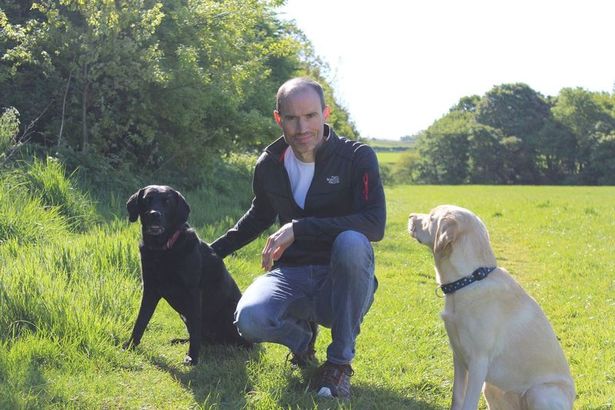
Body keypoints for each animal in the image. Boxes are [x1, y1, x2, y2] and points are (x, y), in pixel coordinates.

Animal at [124, 185, 251, 365]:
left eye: (167, 202)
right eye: (147, 199)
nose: (154, 214)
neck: (163, 250)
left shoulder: (193, 293)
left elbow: (196, 328)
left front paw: (193, 357)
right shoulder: (150, 290)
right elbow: (140, 321)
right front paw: (130, 346)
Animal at [408, 205, 574, 410]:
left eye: (431, 218)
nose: (410, 216)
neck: (469, 280)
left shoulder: (478, 362)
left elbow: (468, 403)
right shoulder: (459, 357)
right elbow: (457, 397)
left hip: (539, 392)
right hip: (491, 388)